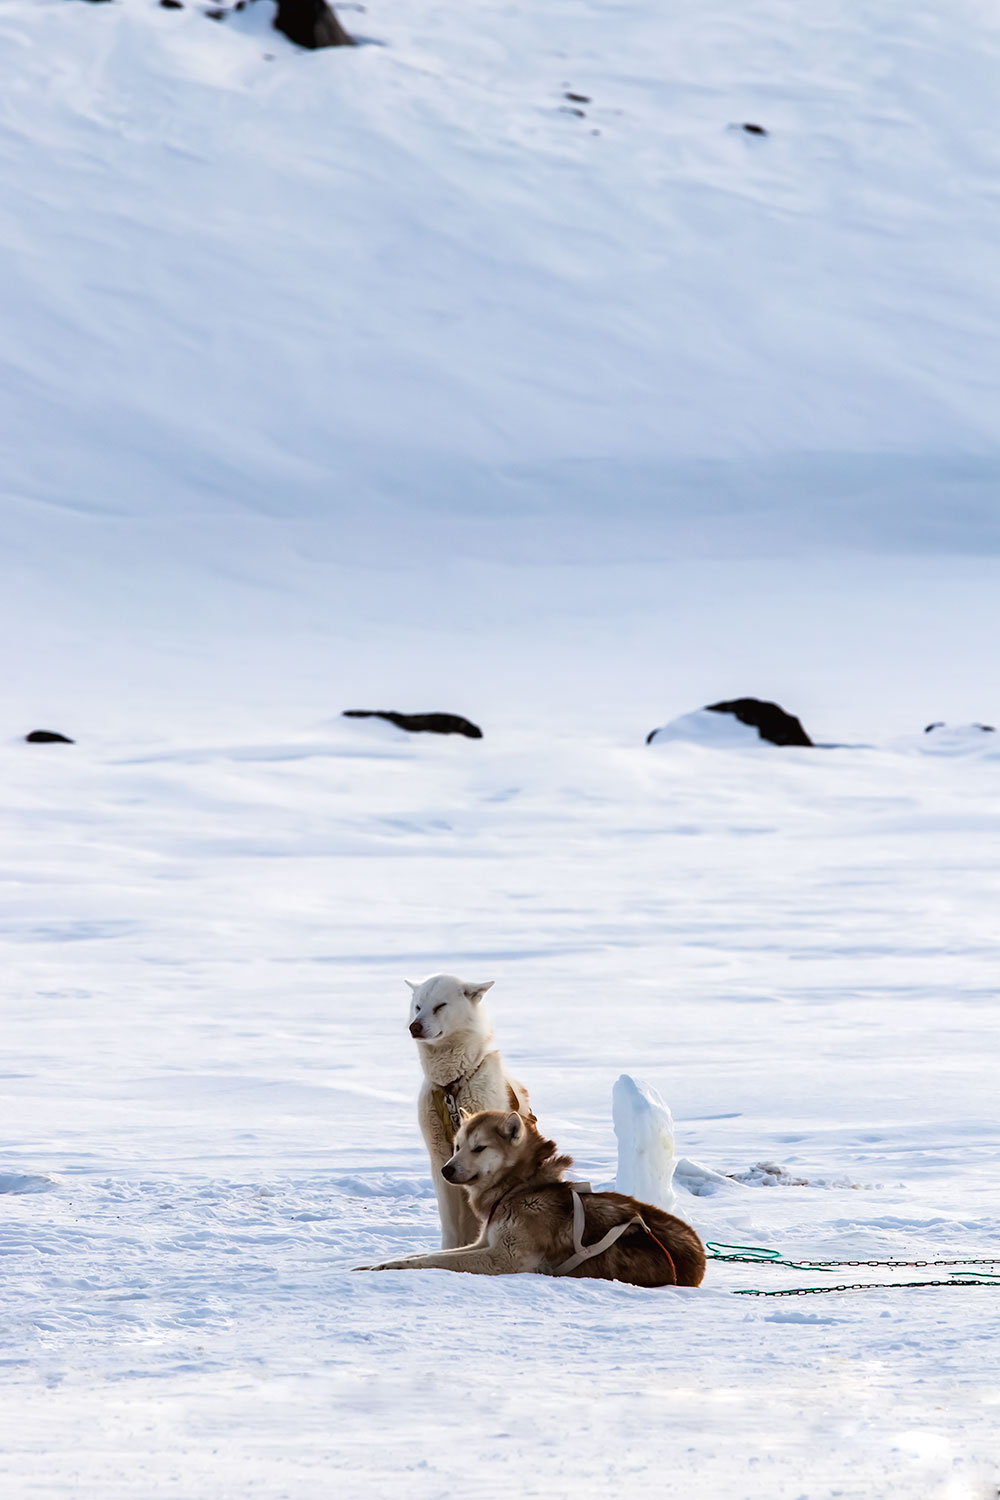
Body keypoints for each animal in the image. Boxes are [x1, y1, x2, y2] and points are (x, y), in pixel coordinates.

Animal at [358, 1110, 704, 1284]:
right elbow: (426, 1255)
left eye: (478, 1148)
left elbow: (435, 1261)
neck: (519, 1188)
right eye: (457, 1146)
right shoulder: (485, 1241)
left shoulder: (503, 1259)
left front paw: (387, 1268)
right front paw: (378, 1263)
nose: (446, 1169)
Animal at [404, 972, 530, 1242]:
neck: (451, 1085)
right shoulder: (439, 1158)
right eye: (418, 1006)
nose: (414, 1027)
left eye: (440, 1006)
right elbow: (450, 1222)